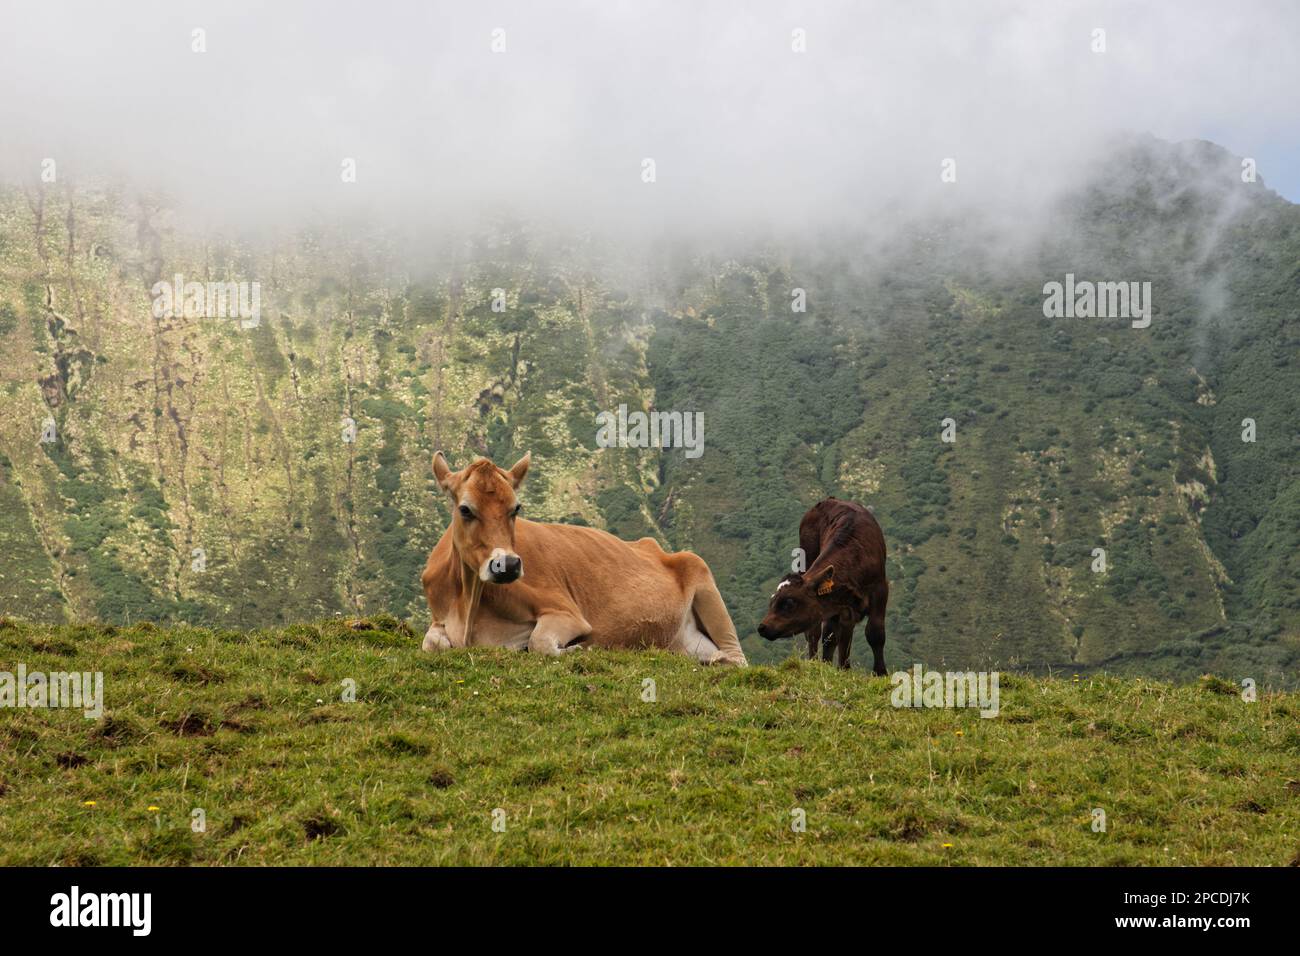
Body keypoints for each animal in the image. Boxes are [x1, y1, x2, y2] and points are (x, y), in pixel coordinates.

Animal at [421, 455, 748, 665]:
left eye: (516, 508)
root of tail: (653, 546)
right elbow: (431, 643)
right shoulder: (440, 619)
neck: (469, 609)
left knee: (737, 658)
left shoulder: (567, 612)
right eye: (465, 509)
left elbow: (539, 642)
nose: (509, 565)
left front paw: (574, 650)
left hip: (701, 573)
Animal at [759, 496, 889, 676]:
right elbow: (836, 637)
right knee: (816, 633)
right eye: (772, 601)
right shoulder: (840, 606)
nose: (762, 627)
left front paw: (880, 673)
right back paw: (816, 663)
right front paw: (839, 669)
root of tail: (830, 500)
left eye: (789, 603)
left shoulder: (879, 589)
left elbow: (874, 632)